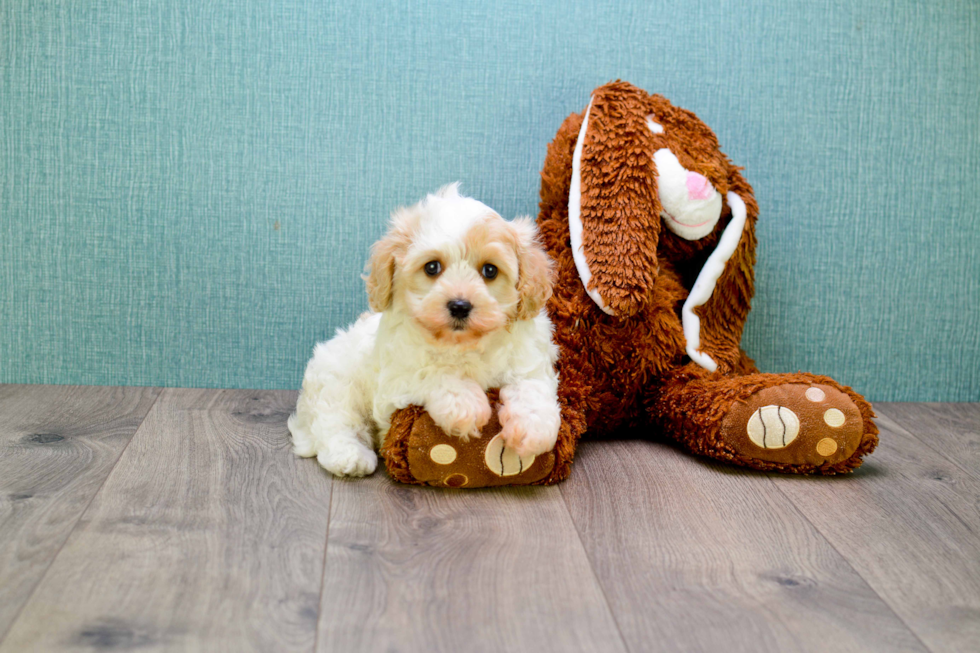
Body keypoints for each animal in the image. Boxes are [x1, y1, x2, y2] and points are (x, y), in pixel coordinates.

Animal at [286, 181, 560, 476]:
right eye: (432, 267)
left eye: (490, 270)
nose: (460, 305)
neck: (462, 344)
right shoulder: (394, 385)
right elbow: (431, 373)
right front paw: (465, 404)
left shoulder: (530, 361)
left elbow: (532, 386)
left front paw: (534, 429)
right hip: (336, 383)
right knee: (335, 422)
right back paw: (350, 456)